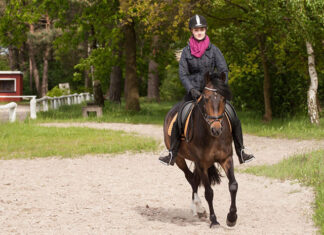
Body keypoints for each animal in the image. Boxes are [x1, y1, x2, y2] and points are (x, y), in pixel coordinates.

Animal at [163, 71, 237, 228]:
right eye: (206, 99)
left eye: (223, 99)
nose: (216, 129)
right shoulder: (202, 163)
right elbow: (209, 192)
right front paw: (214, 220)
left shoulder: (226, 159)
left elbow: (233, 185)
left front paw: (232, 218)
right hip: (180, 159)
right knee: (190, 178)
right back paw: (198, 207)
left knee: (195, 179)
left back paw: (200, 209)